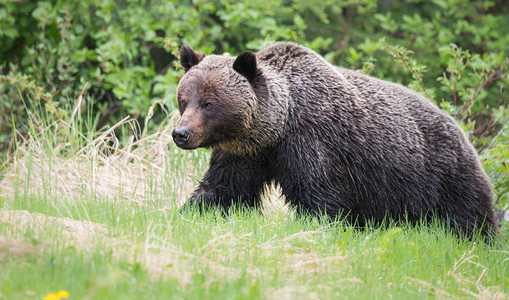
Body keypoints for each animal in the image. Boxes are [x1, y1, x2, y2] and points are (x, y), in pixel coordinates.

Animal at [173, 42, 494, 239]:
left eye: (209, 103)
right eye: (184, 99)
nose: (180, 134)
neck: (277, 128)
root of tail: (464, 134)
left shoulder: (313, 143)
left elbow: (319, 197)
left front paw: (315, 228)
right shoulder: (245, 153)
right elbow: (222, 188)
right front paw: (189, 212)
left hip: (441, 178)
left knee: (467, 220)